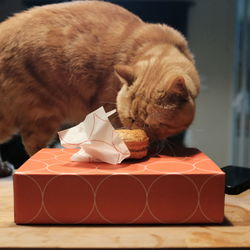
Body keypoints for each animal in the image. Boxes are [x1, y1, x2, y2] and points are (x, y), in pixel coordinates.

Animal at [0, 0, 199, 155]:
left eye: (153, 124)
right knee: (33, 147)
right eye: (131, 119)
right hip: (43, 114)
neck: (160, 44)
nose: (139, 135)